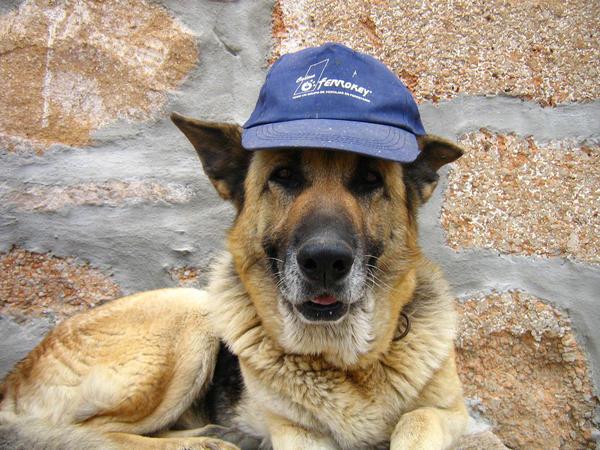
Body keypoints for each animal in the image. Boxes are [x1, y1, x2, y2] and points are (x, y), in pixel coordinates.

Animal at [0, 43, 468, 450]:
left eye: (370, 180)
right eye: (284, 176)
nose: (325, 261)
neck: (347, 362)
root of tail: (13, 378)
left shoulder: (450, 413)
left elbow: (416, 419)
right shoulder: (296, 431)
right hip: (189, 315)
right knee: (86, 433)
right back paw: (205, 442)